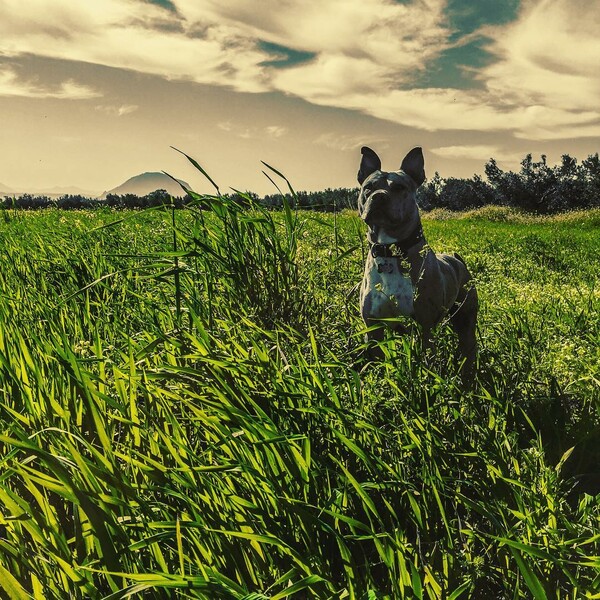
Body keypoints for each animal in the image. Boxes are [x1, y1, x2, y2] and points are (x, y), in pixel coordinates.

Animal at [356, 146, 478, 378]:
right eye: (368, 188)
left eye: (400, 187)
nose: (378, 196)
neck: (391, 253)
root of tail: (456, 259)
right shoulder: (373, 329)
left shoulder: (424, 327)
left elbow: (427, 364)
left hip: (466, 318)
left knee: (468, 345)